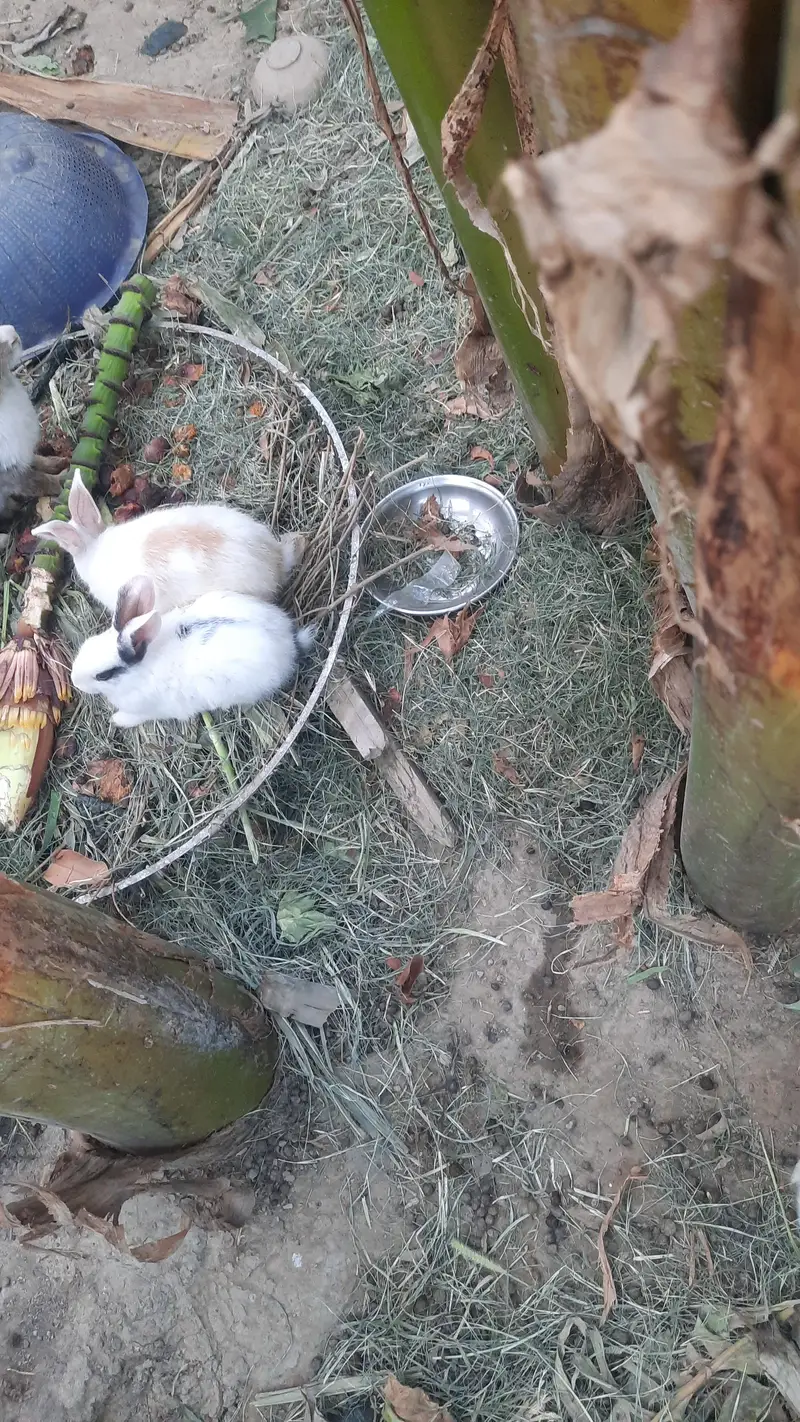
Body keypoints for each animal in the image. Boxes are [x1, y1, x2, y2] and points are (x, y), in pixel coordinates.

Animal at [0, 325, 63, 524]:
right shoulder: (11, 475)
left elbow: (37, 461)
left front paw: (58, 462)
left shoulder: (21, 454)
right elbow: (41, 482)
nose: (14, 335)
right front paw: (65, 476)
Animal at [71, 573, 314, 727]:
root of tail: (289, 641)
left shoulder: (148, 710)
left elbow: (133, 717)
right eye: (87, 644)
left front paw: (116, 721)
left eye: (104, 675)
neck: (139, 671)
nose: (74, 681)